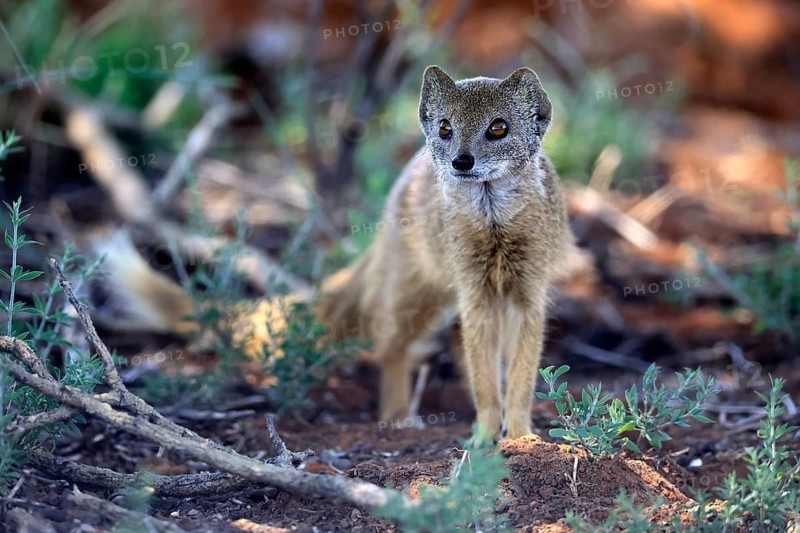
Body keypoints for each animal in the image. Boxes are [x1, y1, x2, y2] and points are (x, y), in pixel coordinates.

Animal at [98, 66, 577, 440]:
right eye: (445, 127)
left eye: (498, 127)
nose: (461, 161)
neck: (495, 232)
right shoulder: (474, 291)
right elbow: (484, 380)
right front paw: (484, 436)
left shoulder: (529, 292)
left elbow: (519, 377)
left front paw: (520, 436)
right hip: (421, 291)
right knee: (390, 347)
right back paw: (398, 417)